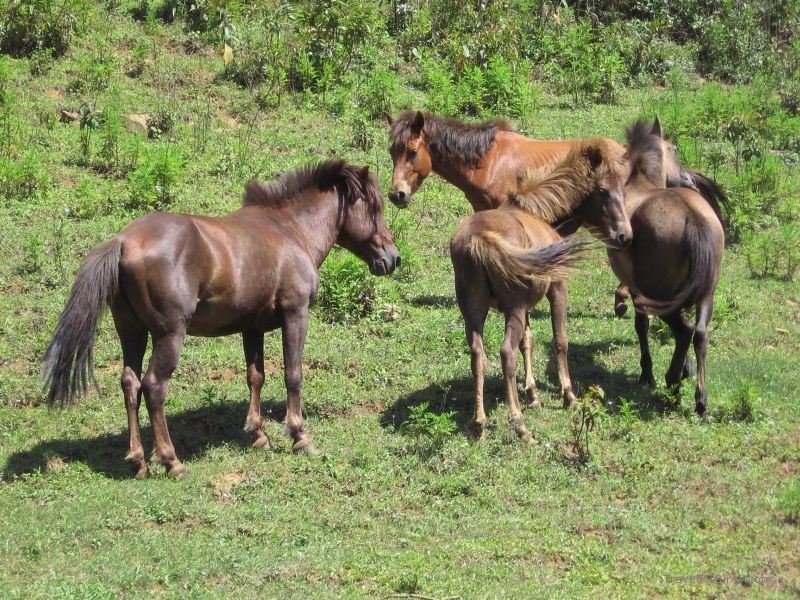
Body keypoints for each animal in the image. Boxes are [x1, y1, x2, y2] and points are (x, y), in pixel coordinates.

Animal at [43, 160, 400, 478]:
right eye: (374, 207)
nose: (393, 258)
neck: (289, 230)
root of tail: (123, 241)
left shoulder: (252, 328)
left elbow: (255, 376)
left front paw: (258, 434)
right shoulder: (295, 314)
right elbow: (293, 375)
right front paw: (299, 436)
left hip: (132, 332)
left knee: (130, 384)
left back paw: (138, 461)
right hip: (169, 335)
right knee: (154, 387)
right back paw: (172, 461)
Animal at [450, 140, 631, 441]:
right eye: (604, 191)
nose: (624, 236)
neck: (537, 214)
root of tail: (480, 237)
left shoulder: (525, 306)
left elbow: (528, 341)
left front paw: (533, 394)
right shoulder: (557, 289)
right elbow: (560, 340)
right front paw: (569, 395)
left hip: (474, 311)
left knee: (478, 356)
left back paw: (480, 423)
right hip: (512, 308)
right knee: (506, 353)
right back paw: (519, 425)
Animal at [607, 121, 726, 415]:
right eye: (675, 149)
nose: (691, 181)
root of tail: (692, 218)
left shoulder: (637, 291)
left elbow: (640, 325)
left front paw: (647, 373)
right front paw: (685, 368)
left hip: (659, 297)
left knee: (684, 330)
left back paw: (672, 381)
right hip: (705, 294)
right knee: (700, 333)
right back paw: (700, 399)